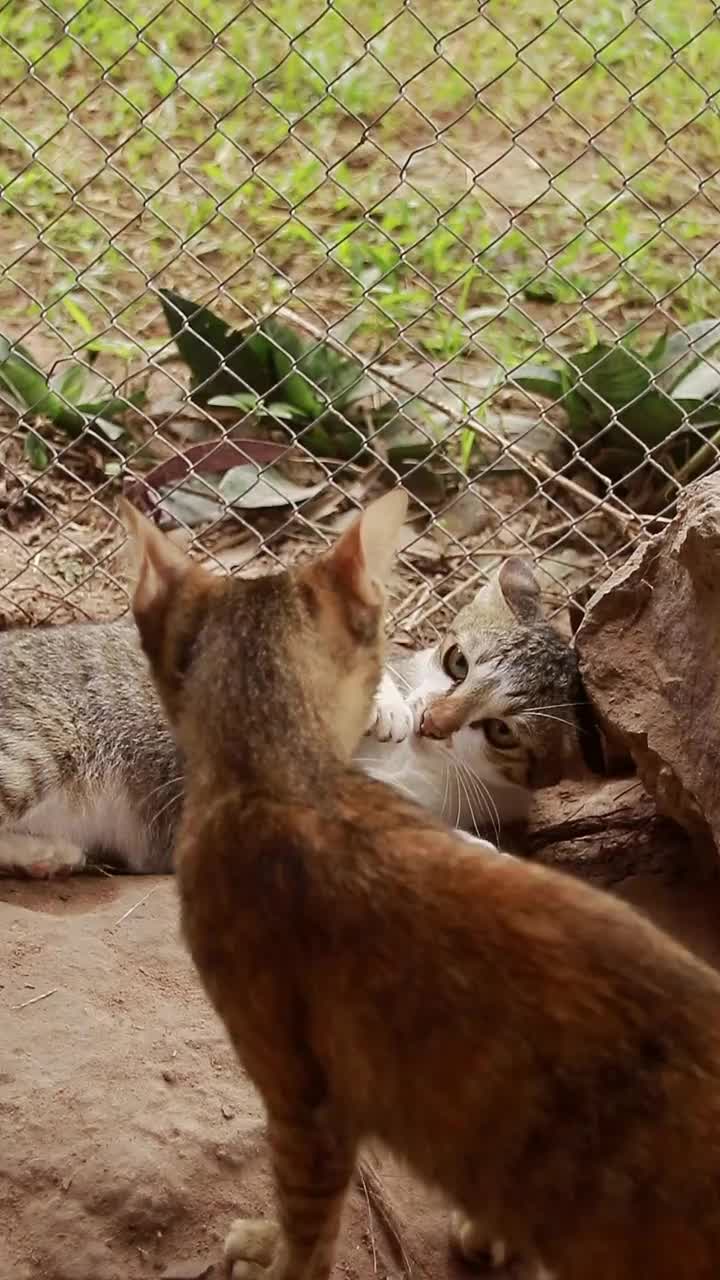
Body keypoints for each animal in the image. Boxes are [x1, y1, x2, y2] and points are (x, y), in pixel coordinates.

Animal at [0, 555, 594, 875]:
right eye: (458, 662)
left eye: (501, 732)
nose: (434, 722)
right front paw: (388, 706)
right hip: (38, 742)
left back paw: (45, 854)